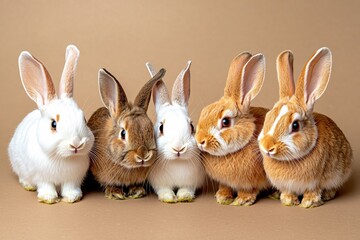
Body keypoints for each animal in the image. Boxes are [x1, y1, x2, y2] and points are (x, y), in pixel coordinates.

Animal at [8, 44, 94, 202]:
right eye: (53, 124)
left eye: (84, 119)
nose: (76, 144)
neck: (63, 158)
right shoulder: (42, 177)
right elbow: (46, 186)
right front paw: (49, 198)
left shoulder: (73, 179)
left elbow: (70, 188)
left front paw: (72, 197)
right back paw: (28, 185)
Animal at [145, 60, 204, 202]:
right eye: (161, 128)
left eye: (192, 126)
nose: (178, 149)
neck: (177, 162)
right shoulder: (160, 184)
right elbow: (164, 190)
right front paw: (169, 198)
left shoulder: (191, 182)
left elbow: (187, 189)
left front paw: (184, 196)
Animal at [195, 53, 268, 206]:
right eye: (204, 112)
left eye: (225, 122)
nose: (200, 141)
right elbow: (225, 186)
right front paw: (222, 196)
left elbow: (250, 189)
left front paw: (242, 200)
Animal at [258, 47, 352, 208]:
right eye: (268, 117)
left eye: (295, 125)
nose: (267, 147)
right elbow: (288, 192)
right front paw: (288, 200)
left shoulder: (316, 182)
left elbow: (313, 191)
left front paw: (309, 203)